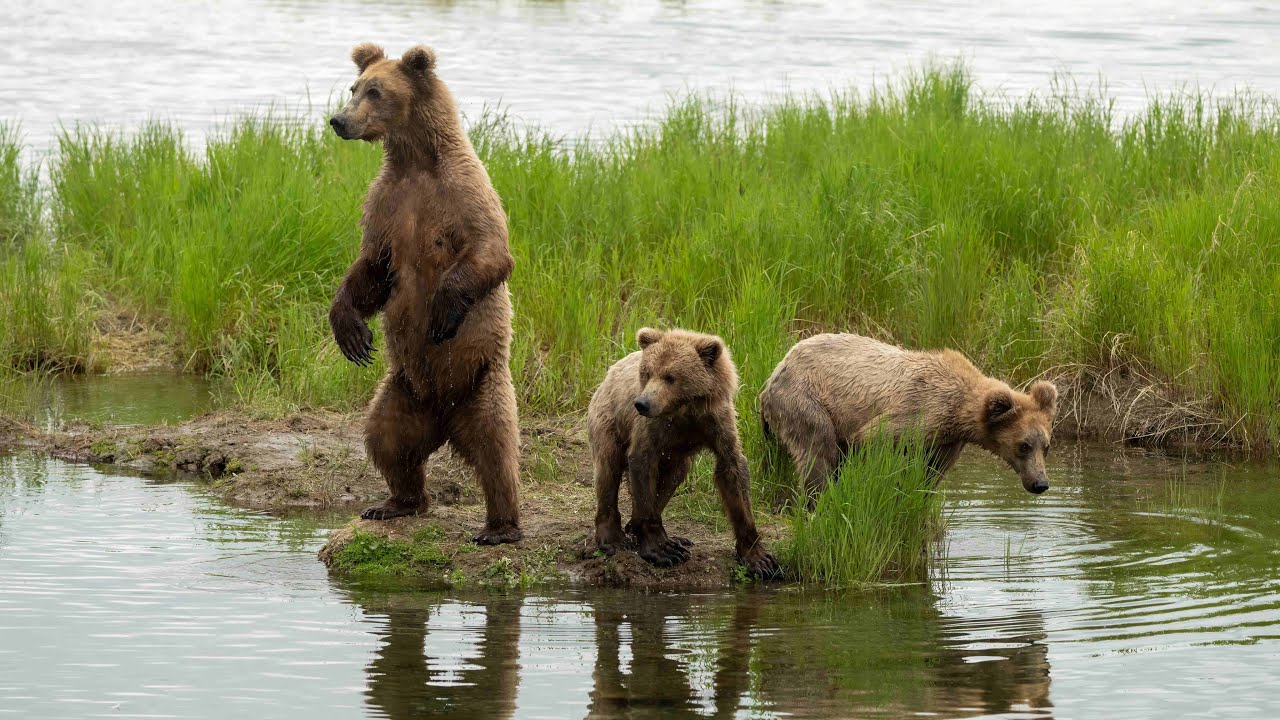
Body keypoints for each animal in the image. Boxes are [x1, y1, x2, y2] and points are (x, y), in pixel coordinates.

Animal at [327, 43, 521, 545]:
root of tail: (444, 415)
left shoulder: (464, 191)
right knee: (386, 439)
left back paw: (500, 527)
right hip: (402, 389)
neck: (416, 161)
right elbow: (374, 266)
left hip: (482, 380)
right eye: (354, 87)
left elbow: (490, 252)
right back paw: (395, 502)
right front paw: (351, 332)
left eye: (375, 91)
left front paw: (442, 311)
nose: (338, 120)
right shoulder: (386, 202)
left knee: (496, 449)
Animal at [588, 327, 781, 580]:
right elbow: (641, 461)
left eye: (670, 376)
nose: (642, 403)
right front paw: (661, 550)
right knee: (608, 469)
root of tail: (608, 374)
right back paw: (613, 538)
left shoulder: (717, 422)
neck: (685, 409)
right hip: (609, 420)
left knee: (673, 476)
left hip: (675, 455)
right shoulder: (653, 427)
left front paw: (759, 559)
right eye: (647, 373)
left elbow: (733, 472)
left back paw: (659, 534)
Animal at [759, 333, 1058, 503]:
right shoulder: (918, 410)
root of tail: (776, 370)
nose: (1040, 484)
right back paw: (817, 499)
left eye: (1046, 446)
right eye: (1023, 445)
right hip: (806, 399)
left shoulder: (947, 441)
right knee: (818, 450)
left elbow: (930, 474)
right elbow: (874, 439)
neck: (958, 412)